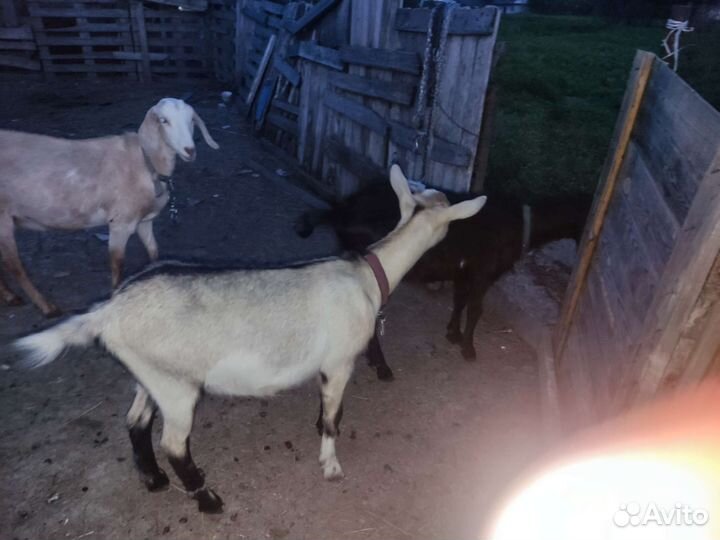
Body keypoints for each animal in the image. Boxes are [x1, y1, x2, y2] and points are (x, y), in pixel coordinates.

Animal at [0, 98, 219, 316]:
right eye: (163, 120)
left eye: (191, 119)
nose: (190, 150)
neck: (145, 164)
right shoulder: (121, 222)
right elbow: (117, 264)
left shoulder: (145, 220)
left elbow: (153, 252)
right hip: (3, 218)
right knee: (15, 266)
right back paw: (46, 306)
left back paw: (10, 296)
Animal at [14, 165, 487, 514]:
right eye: (450, 216)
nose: (461, 258)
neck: (366, 276)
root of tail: (106, 311)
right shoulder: (340, 361)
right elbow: (336, 417)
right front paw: (331, 465)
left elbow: (327, 409)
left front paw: (319, 428)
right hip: (177, 389)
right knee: (173, 443)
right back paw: (207, 499)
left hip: (153, 373)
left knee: (135, 422)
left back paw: (154, 480)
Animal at [297, 181, 589, 379]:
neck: (521, 223)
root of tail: (343, 210)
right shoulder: (483, 272)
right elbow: (475, 309)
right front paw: (469, 349)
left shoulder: (464, 271)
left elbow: (459, 301)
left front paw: (453, 334)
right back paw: (382, 366)